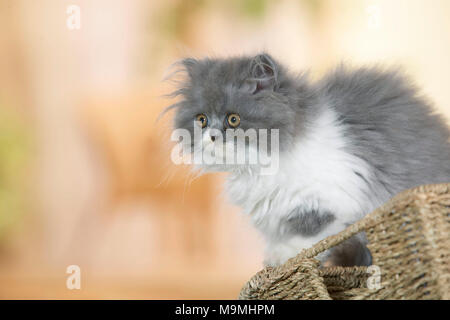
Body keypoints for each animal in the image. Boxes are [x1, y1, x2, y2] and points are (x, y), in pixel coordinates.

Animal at [165, 53, 450, 268]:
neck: (256, 167)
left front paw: (283, 256)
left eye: (233, 120)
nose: (212, 135)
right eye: (201, 120)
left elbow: (311, 231)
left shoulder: (329, 198)